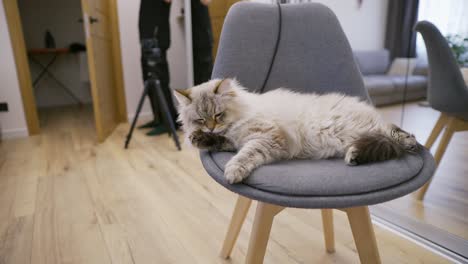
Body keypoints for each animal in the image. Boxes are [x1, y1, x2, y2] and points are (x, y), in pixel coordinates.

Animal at [175, 78, 416, 184]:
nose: (211, 126)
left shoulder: (267, 137)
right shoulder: (234, 141)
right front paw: (198, 138)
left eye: (218, 115)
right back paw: (355, 156)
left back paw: (407, 144)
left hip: (368, 129)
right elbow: (219, 142)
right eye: (200, 119)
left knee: (398, 134)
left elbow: (243, 156)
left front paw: (233, 172)